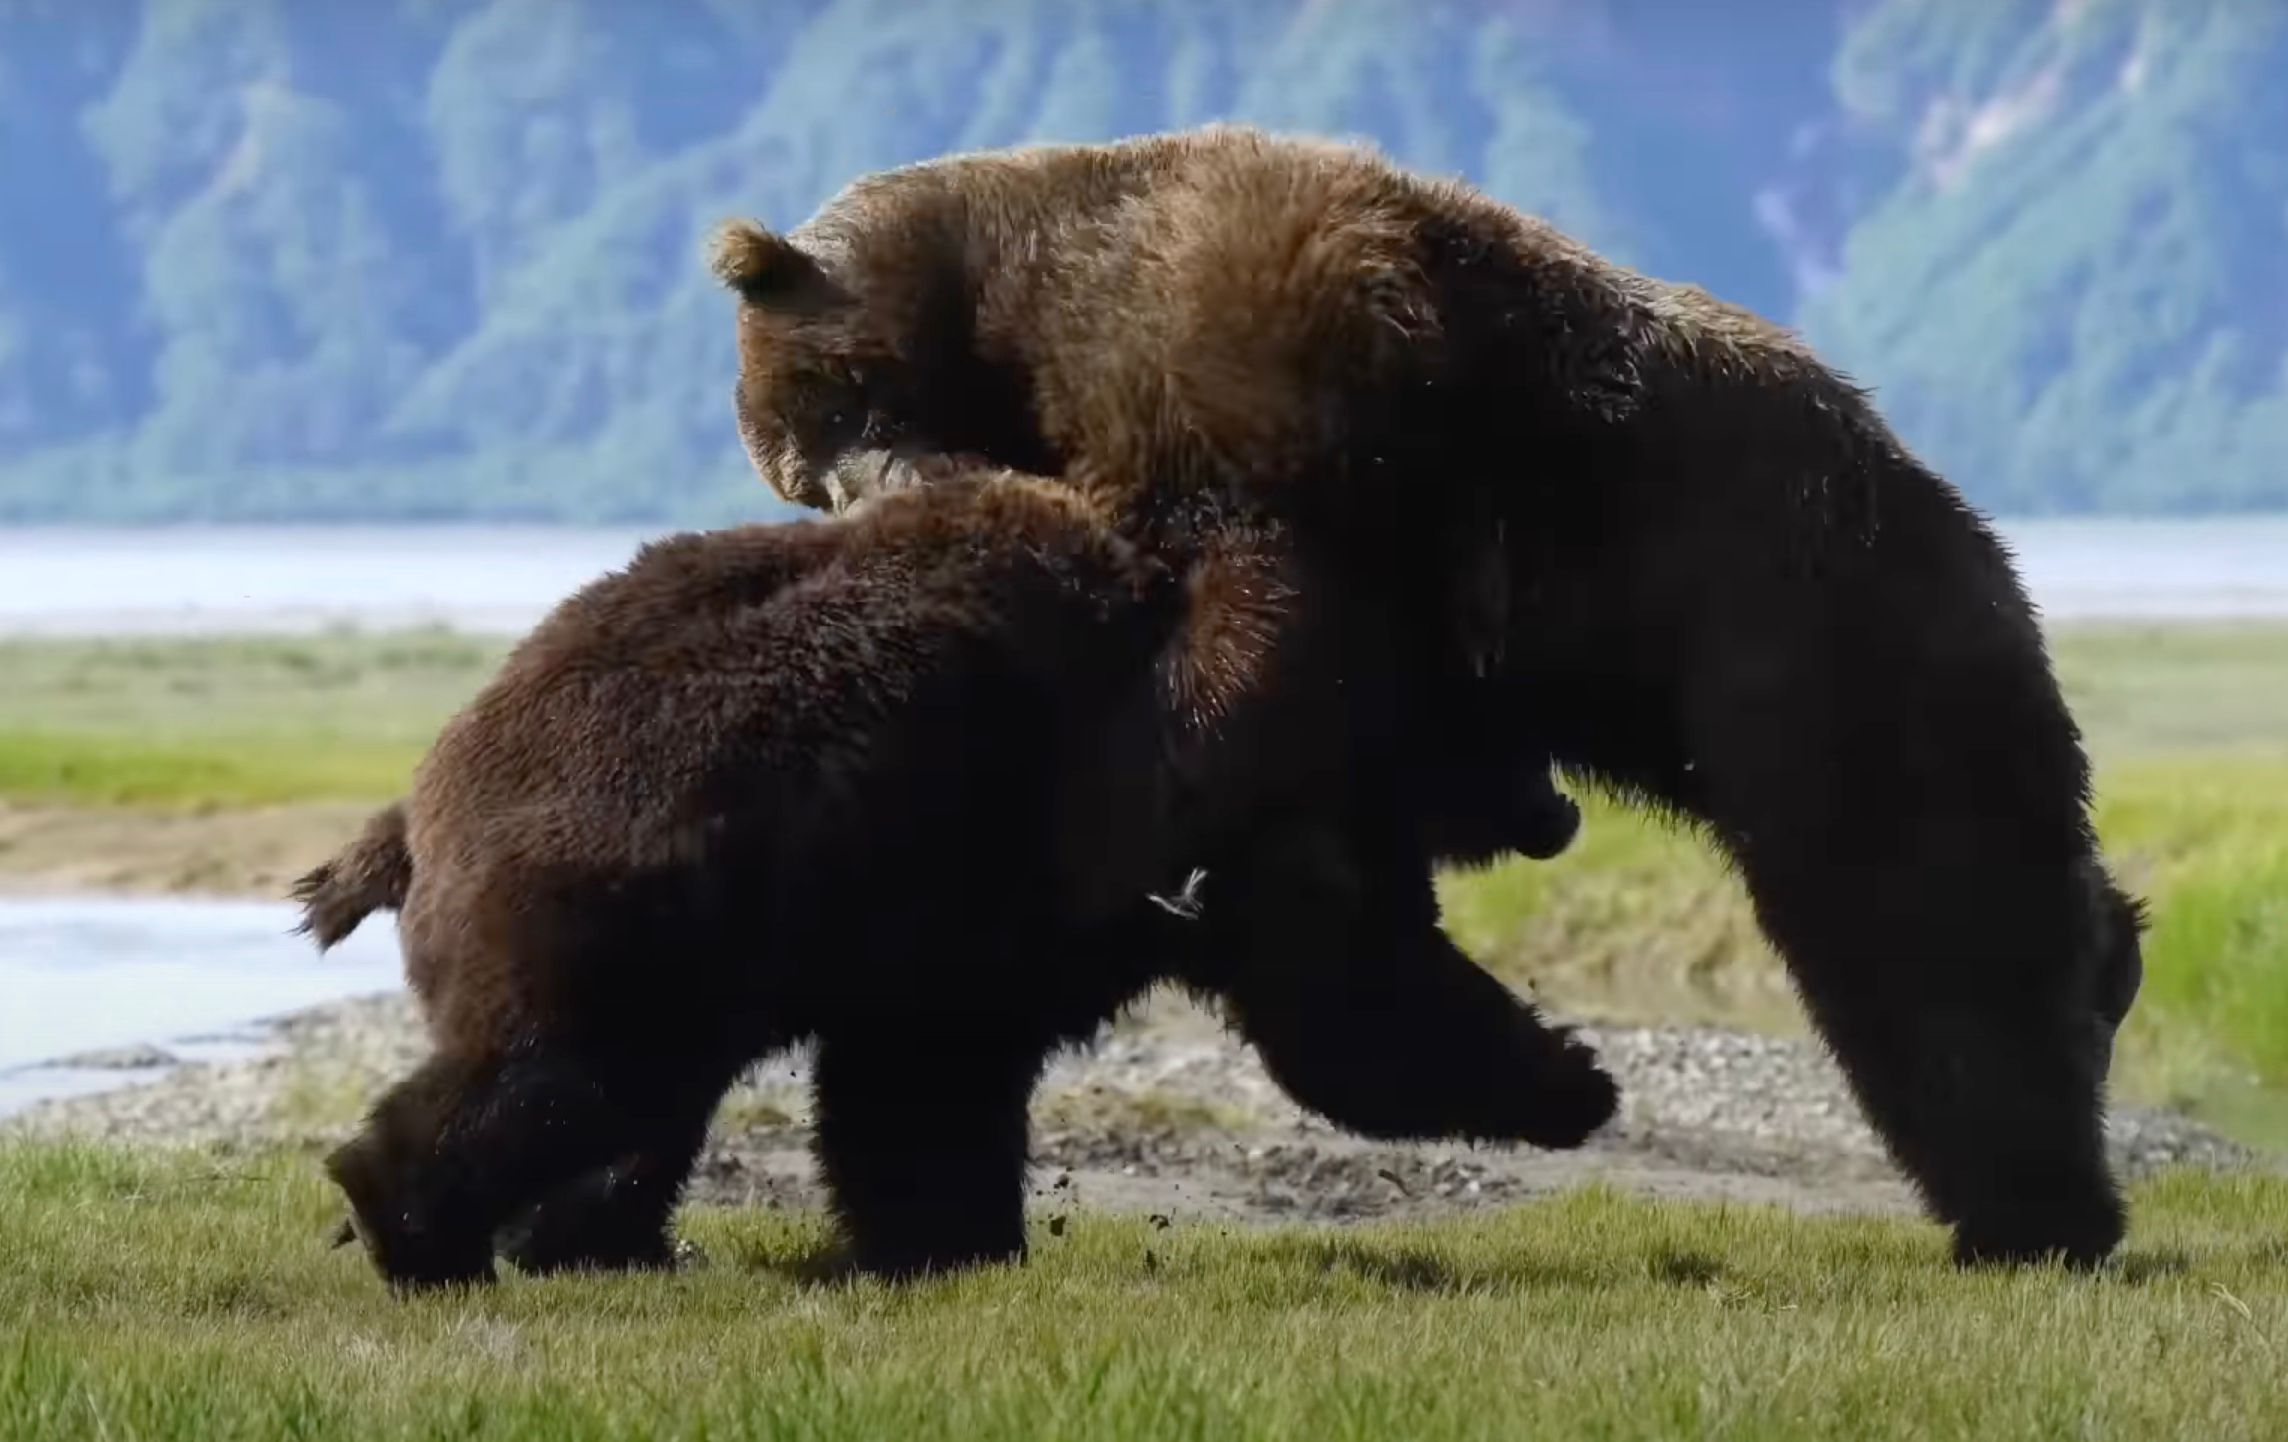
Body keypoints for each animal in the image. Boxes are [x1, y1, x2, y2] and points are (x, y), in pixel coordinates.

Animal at [304, 469, 1619, 1290]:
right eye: (1510, 711)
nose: (1555, 806)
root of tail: (416, 805)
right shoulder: (1035, 853)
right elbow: (1346, 1005)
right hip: (618, 900)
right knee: (567, 1072)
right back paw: (418, 1226)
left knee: (635, 1102)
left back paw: (598, 1242)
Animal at [709, 127, 2141, 1272]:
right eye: (794, 464)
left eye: (821, 415)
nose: (876, 493)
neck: (1026, 318)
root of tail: (1965, 524)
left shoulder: (1270, 364)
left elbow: (1256, 614)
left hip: (1805, 626)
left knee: (1922, 910)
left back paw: (2039, 1197)